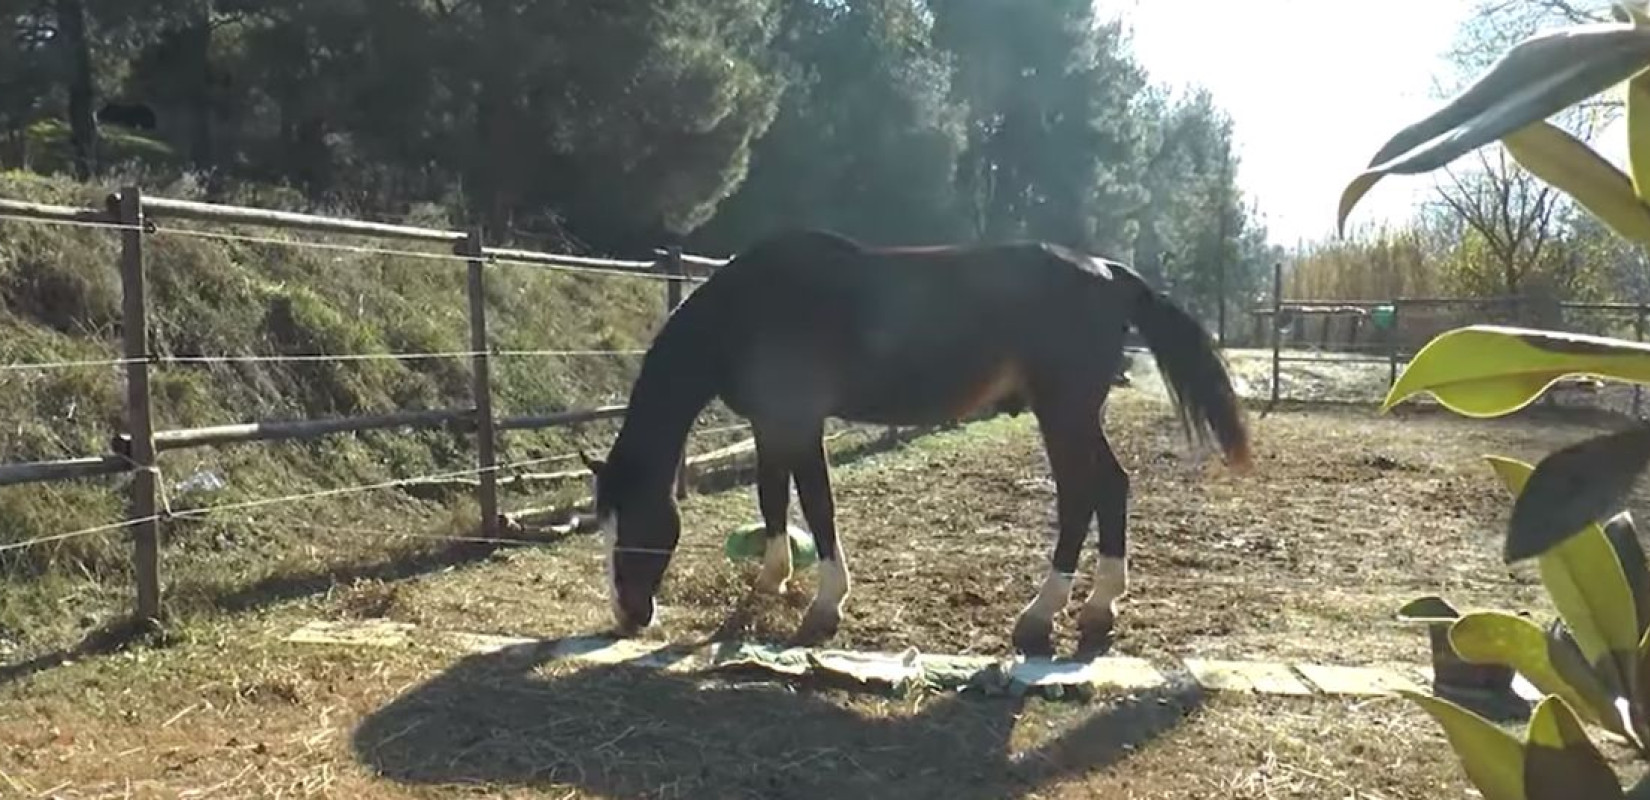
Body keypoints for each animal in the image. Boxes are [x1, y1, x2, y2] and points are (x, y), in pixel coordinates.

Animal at [584, 229, 1247, 656]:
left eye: (635, 524)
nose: (627, 616)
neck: (751, 306)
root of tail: (1107, 271)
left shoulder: (800, 423)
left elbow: (818, 507)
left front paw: (825, 606)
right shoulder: (772, 425)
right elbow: (773, 500)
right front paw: (771, 582)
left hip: (1064, 412)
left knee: (1084, 493)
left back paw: (1040, 617)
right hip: (1077, 413)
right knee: (1110, 488)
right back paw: (1097, 609)